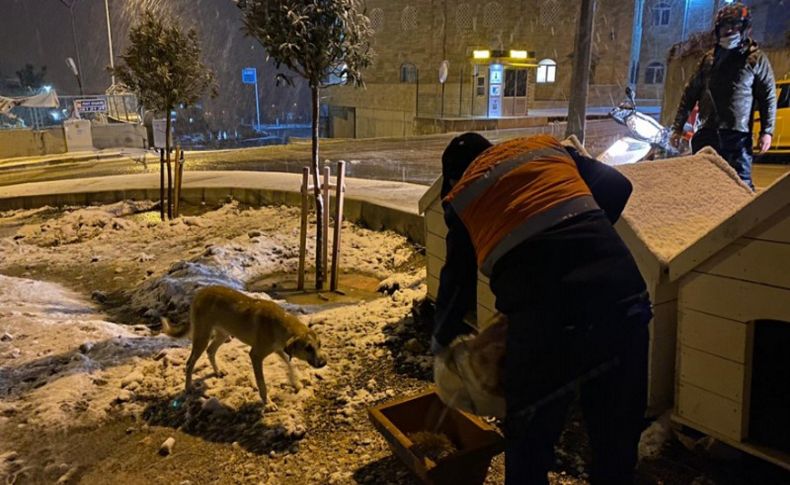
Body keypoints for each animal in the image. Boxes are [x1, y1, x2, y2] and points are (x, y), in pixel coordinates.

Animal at [164, 286, 328, 410]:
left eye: (319, 345)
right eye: (308, 348)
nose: (323, 363)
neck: (280, 324)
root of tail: (200, 292)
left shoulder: (279, 349)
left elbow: (289, 365)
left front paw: (296, 383)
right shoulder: (255, 356)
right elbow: (262, 383)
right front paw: (268, 403)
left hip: (223, 333)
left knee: (210, 351)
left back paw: (218, 371)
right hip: (202, 337)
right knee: (189, 362)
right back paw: (188, 387)